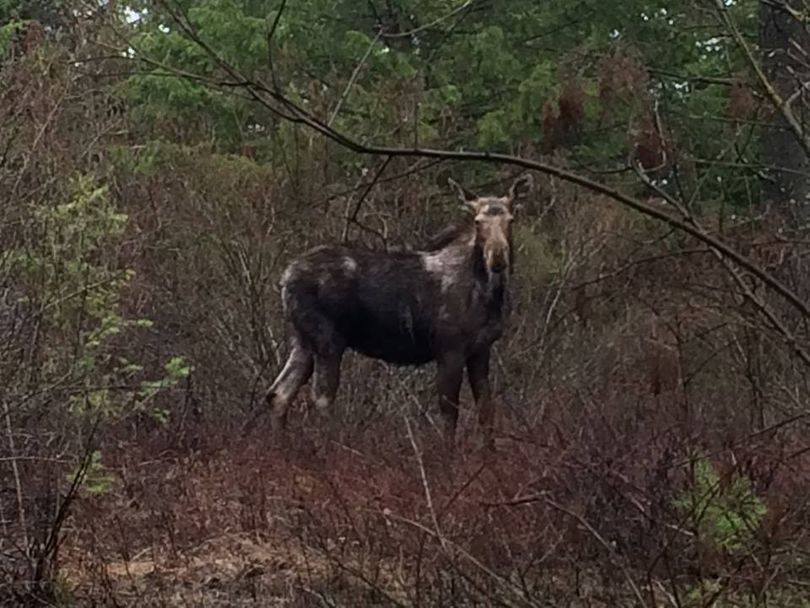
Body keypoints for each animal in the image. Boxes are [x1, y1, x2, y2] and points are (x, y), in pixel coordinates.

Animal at [266, 173, 532, 444]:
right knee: (321, 399)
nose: (498, 258)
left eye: (511, 219)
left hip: (302, 341)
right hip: (327, 340)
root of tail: (285, 278)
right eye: (478, 222)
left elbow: (486, 412)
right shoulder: (449, 349)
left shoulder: (481, 349)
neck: (488, 295)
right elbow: (449, 414)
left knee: (278, 393)